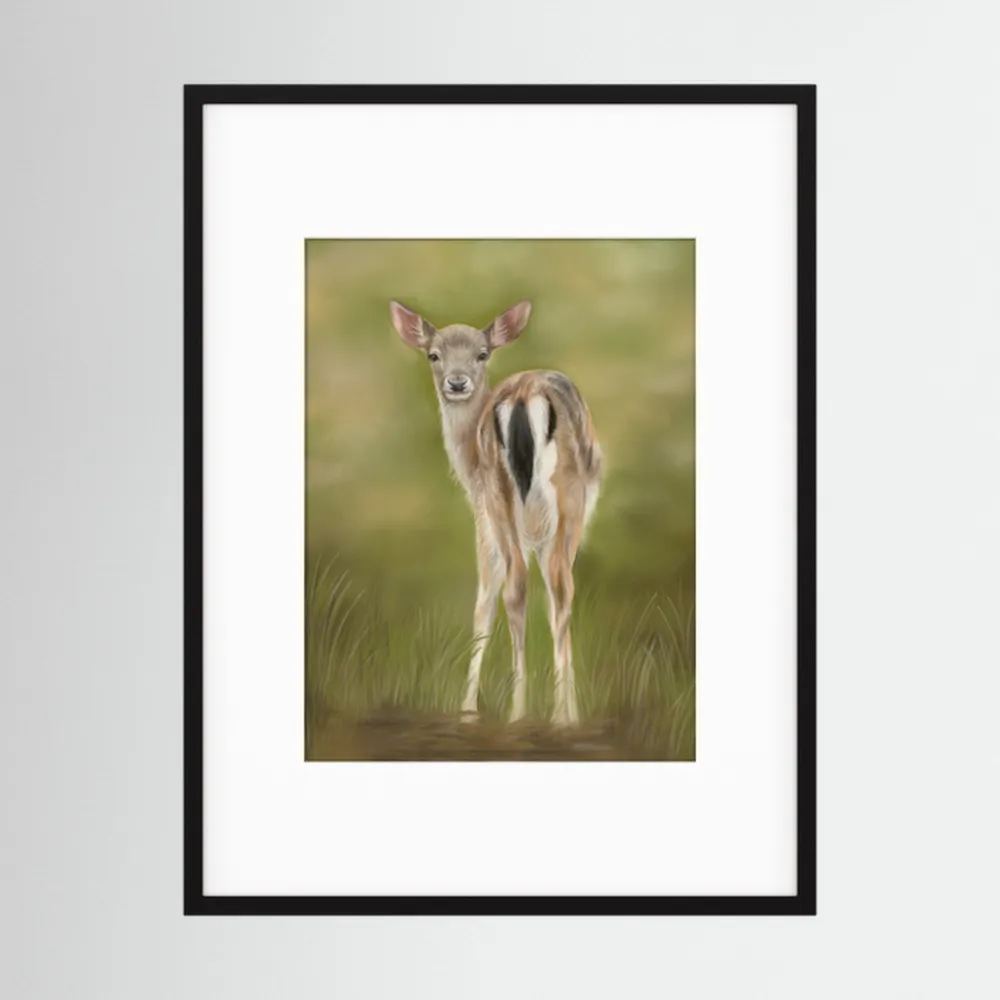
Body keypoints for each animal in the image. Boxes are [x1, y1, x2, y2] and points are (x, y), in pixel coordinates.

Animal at [390, 299, 602, 726]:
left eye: (482, 354)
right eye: (433, 354)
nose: (456, 383)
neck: (467, 466)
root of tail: (523, 396)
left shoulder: (492, 517)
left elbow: (493, 600)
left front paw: (469, 708)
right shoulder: (497, 520)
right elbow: (501, 600)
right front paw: (469, 708)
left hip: (508, 498)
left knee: (528, 585)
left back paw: (527, 712)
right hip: (547, 501)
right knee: (546, 586)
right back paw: (539, 714)